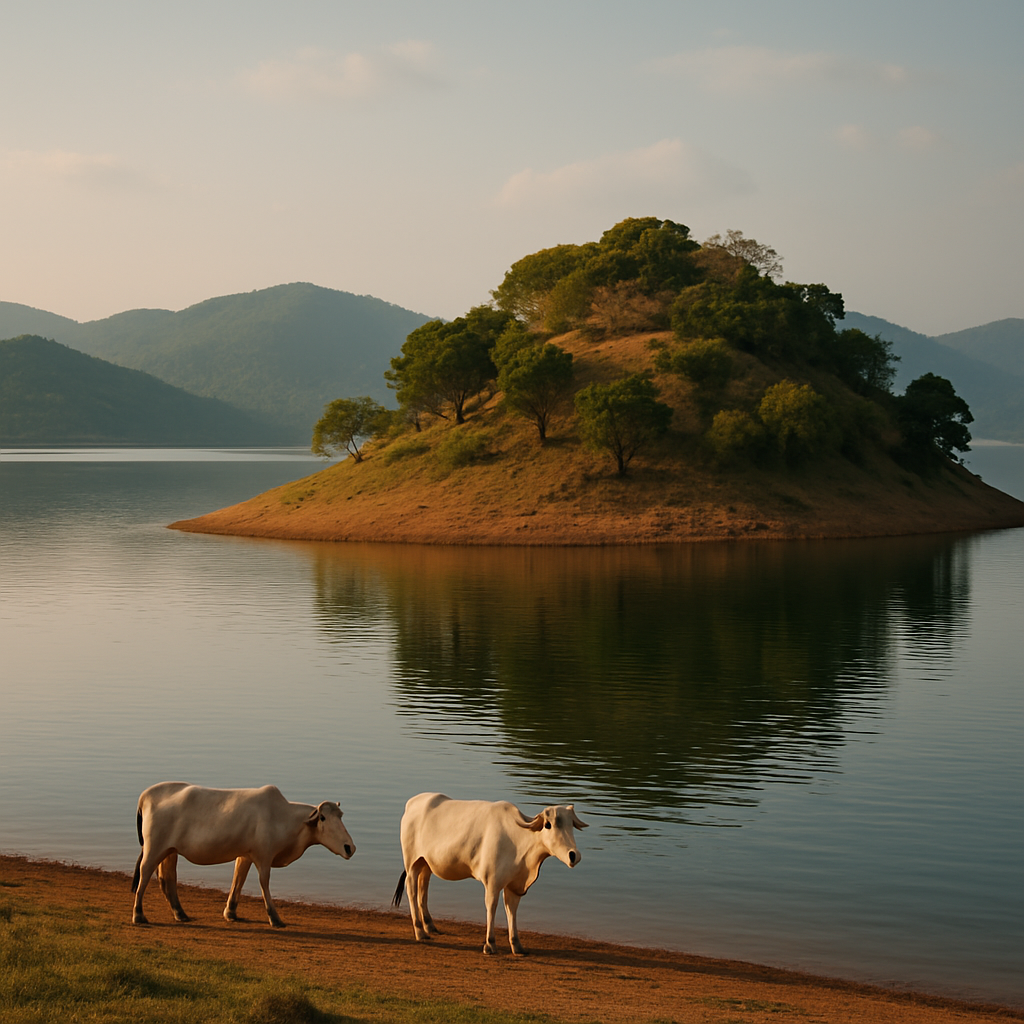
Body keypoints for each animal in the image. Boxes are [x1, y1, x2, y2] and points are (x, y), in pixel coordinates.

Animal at [131, 781, 355, 928]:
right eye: (323, 818)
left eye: (341, 816)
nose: (349, 847)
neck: (283, 818)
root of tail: (146, 795)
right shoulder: (264, 856)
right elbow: (264, 884)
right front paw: (275, 918)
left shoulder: (246, 854)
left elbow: (238, 879)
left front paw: (230, 912)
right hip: (154, 848)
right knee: (145, 873)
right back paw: (139, 914)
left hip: (170, 850)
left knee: (167, 878)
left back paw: (180, 913)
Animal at [392, 792, 587, 955]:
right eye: (548, 825)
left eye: (571, 825)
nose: (573, 855)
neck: (518, 841)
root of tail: (412, 803)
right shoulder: (492, 883)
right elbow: (491, 908)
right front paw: (490, 944)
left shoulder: (514, 886)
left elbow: (511, 911)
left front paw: (517, 945)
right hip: (412, 862)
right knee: (412, 890)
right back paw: (419, 931)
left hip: (426, 864)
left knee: (423, 889)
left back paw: (429, 926)